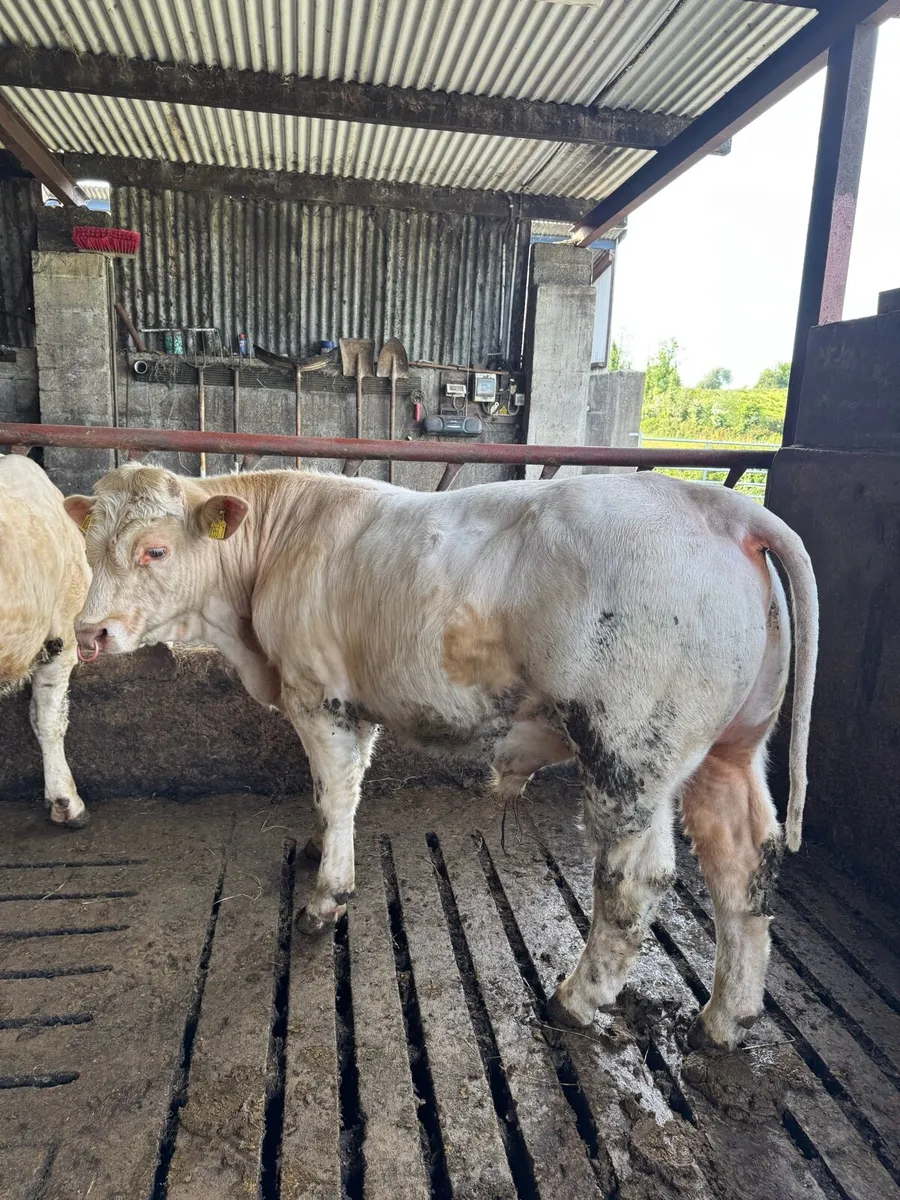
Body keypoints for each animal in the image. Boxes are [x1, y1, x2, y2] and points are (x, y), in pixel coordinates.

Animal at [64, 463, 817, 1050]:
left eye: (154, 550)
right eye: (88, 546)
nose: (87, 633)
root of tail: (715, 504)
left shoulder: (319, 695)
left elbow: (334, 790)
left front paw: (325, 900)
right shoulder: (355, 703)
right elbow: (339, 791)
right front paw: (319, 849)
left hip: (628, 750)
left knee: (637, 879)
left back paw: (574, 999)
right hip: (731, 747)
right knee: (743, 861)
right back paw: (727, 1017)